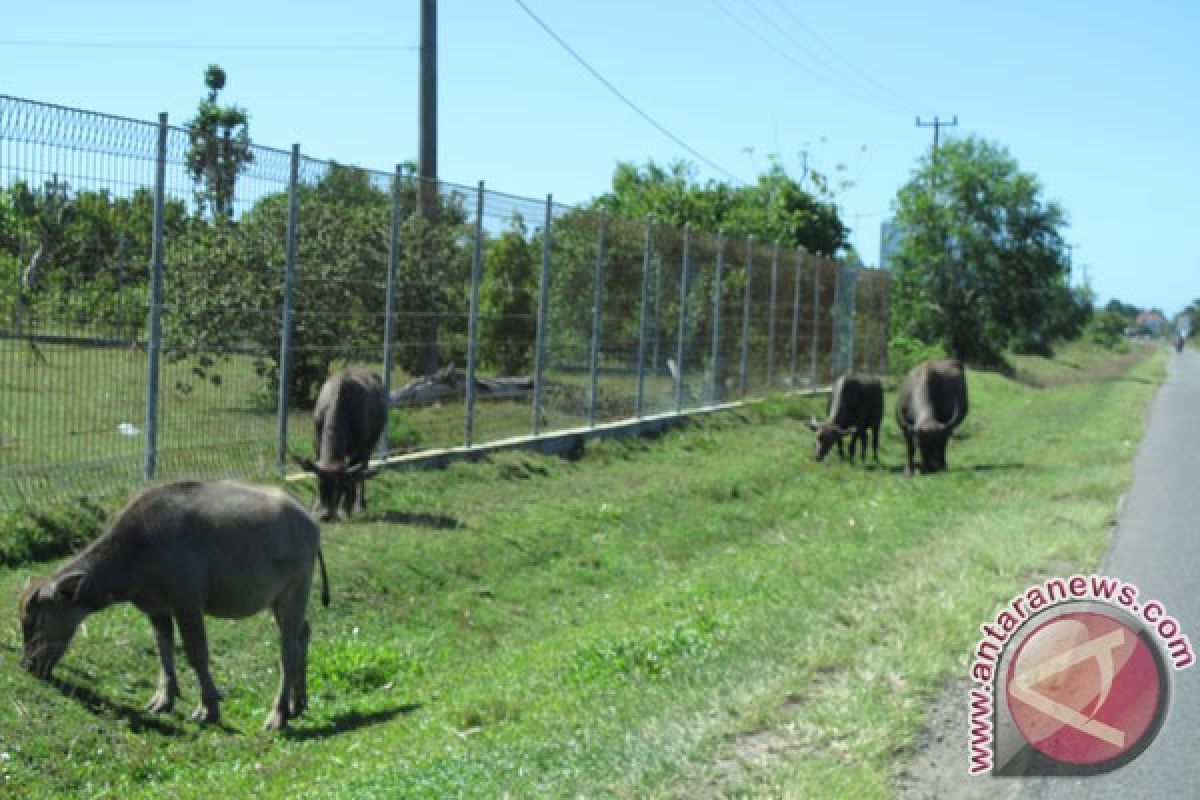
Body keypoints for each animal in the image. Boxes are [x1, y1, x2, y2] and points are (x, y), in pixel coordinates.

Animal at [22, 482, 333, 734]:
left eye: (33, 621)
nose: (28, 664)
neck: (140, 549)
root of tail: (308, 520)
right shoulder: (157, 610)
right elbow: (164, 650)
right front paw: (163, 700)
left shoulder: (188, 606)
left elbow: (196, 654)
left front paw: (208, 708)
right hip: (279, 601)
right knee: (303, 633)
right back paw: (297, 702)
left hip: (294, 591)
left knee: (287, 648)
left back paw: (278, 715)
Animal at [292, 367, 386, 522]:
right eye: (320, 486)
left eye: (342, 488)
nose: (326, 515)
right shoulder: (317, 443)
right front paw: (315, 507)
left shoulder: (360, 448)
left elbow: (354, 475)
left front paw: (344, 510)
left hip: (371, 444)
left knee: (363, 470)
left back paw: (359, 505)